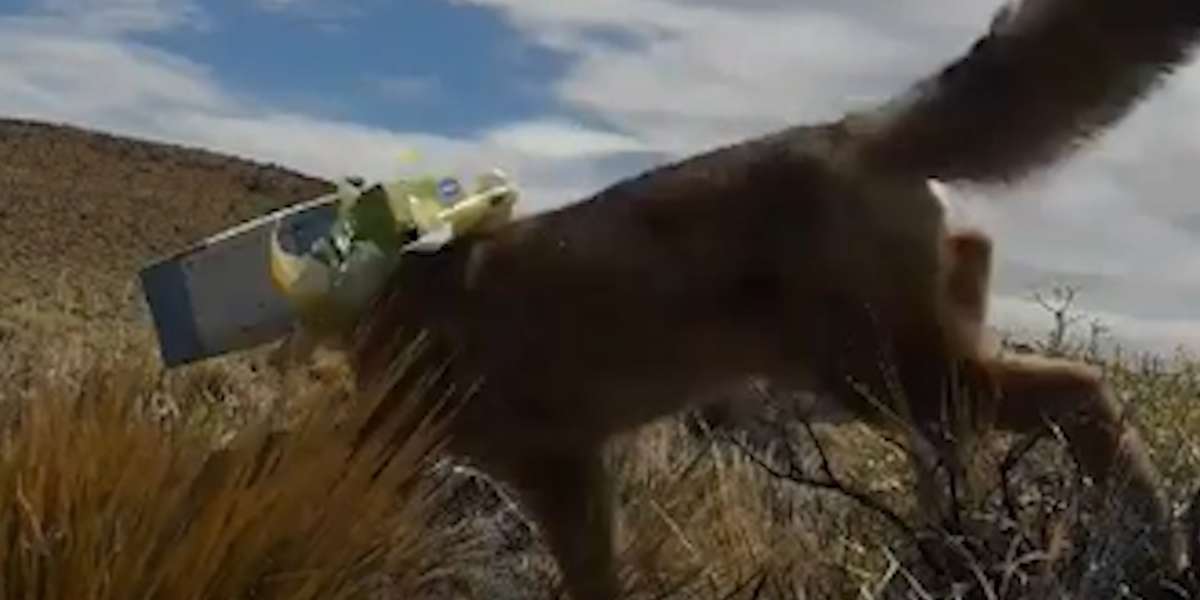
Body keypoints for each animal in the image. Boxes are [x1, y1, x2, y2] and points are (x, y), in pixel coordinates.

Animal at [335, 1, 1200, 598]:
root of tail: (845, 127)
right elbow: (596, 574)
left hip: (887, 378)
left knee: (1081, 386)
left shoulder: (536, 462)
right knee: (984, 291)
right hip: (892, 379)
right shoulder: (567, 467)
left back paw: (1151, 542)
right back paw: (968, 541)